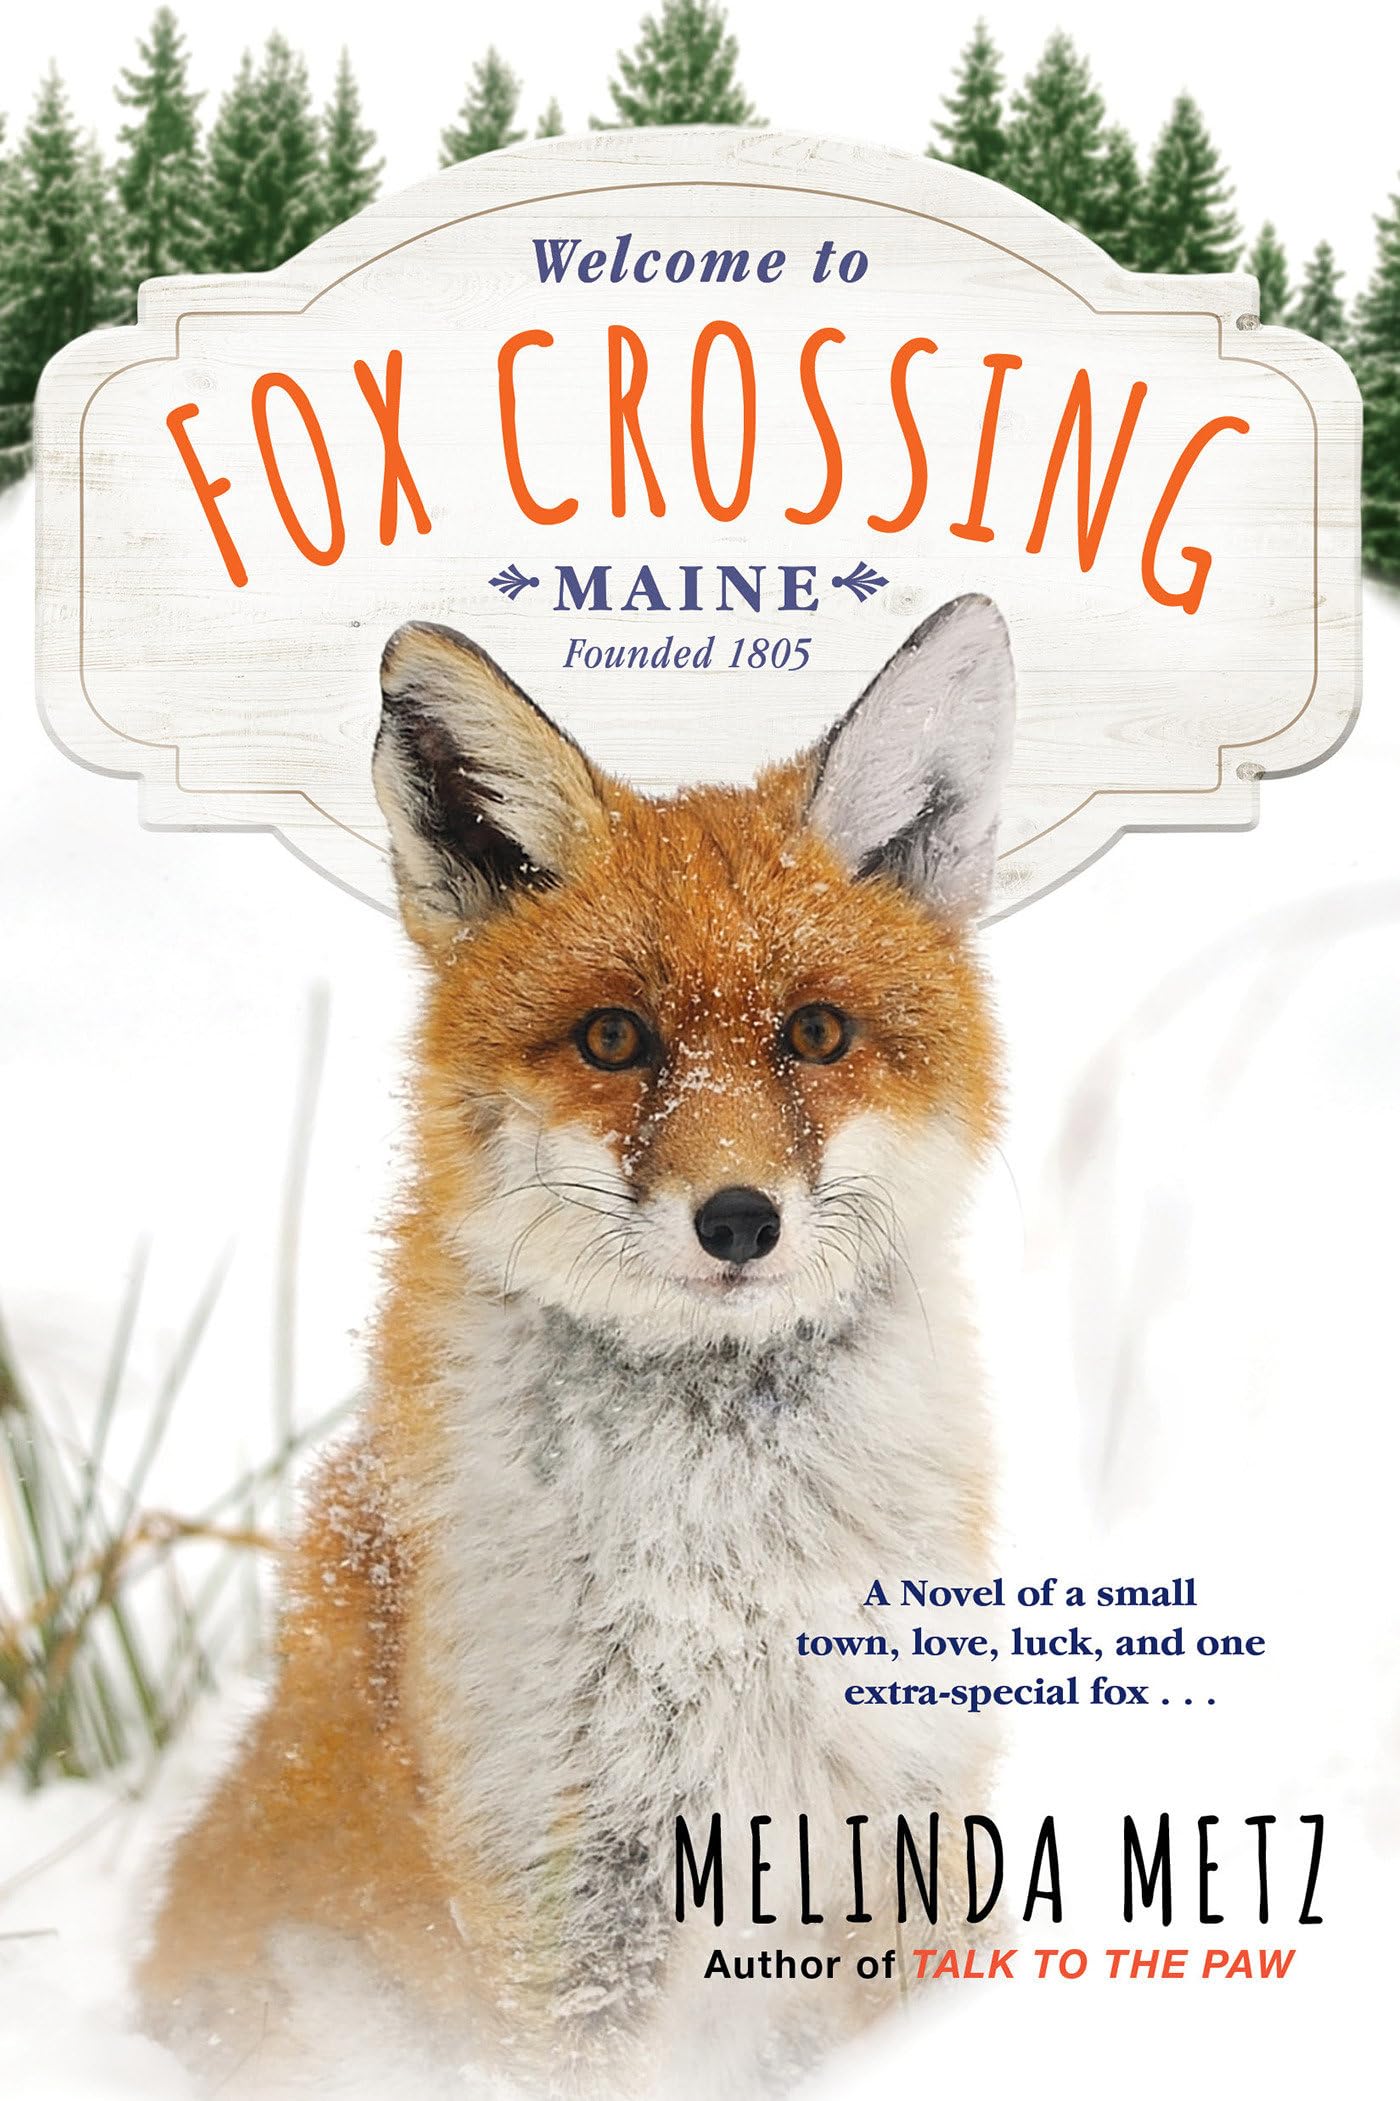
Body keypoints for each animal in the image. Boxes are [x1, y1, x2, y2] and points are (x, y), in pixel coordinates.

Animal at [138, 592, 1017, 2098]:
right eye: (615, 1038)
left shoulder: (887, 1828)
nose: (738, 1221)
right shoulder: (562, 1885)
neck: (731, 1588)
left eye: (815, 1031)